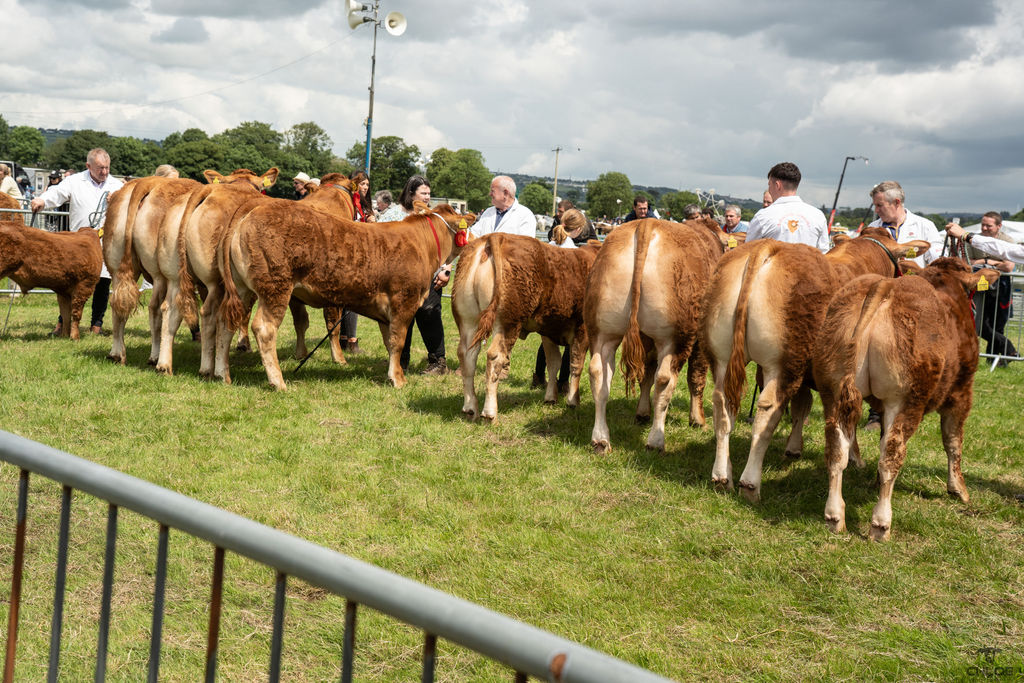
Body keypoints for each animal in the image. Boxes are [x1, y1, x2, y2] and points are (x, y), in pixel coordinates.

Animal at [218, 202, 475, 390]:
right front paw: (398, 379)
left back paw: (222, 375)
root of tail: (249, 214)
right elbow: (398, 341)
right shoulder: (404, 301)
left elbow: (390, 343)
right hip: (275, 288)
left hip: (241, 290)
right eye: (466, 226)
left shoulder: (387, 313)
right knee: (264, 329)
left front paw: (392, 373)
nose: (474, 241)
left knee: (226, 324)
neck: (422, 244)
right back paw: (278, 381)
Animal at [452, 233, 602, 420]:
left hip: (468, 321)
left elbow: (553, 362)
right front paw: (573, 401)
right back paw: (490, 413)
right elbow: (576, 362)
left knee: (467, 356)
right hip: (507, 323)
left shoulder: (547, 330)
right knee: (495, 357)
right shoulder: (582, 328)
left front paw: (550, 398)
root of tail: (496, 236)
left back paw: (470, 407)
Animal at [584, 217, 735, 454]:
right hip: (675, 338)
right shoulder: (701, 341)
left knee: (599, 374)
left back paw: (601, 439)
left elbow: (646, 373)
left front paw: (642, 412)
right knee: (665, 380)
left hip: (602, 332)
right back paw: (655, 440)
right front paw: (698, 419)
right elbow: (696, 377)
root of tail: (646, 224)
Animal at [702, 228, 931, 502]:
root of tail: (767, 247)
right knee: (767, 413)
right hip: (781, 364)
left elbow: (802, 407)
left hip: (723, 357)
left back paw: (721, 476)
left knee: (722, 405)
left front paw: (793, 447)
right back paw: (750, 483)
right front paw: (855, 458)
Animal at [813, 258, 999, 540]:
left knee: (837, 449)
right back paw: (881, 524)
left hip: (832, 390)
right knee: (892, 453)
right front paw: (959, 489)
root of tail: (884, 285)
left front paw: (875, 483)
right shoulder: (961, 392)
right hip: (905, 399)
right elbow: (953, 441)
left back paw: (834, 516)